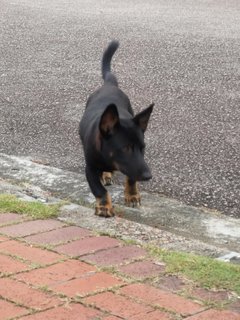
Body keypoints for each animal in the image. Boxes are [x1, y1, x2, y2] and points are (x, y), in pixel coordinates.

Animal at [79, 39, 154, 215]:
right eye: (125, 148)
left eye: (143, 148)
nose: (148, 176)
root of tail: (109, 85)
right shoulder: (90, 168)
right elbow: (99, 189)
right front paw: (104, 206)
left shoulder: (134, 166)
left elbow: (131, 178)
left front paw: (132, 195)